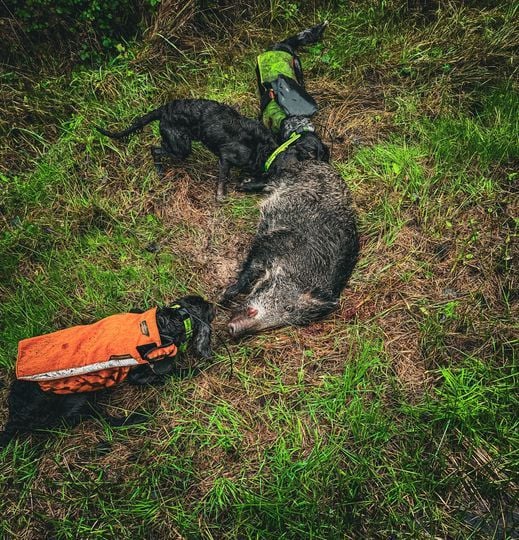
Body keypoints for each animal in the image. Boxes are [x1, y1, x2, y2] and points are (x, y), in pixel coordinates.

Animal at [0, 296, 215, 448]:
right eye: (207, 307)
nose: (214, 304)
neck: (167, 322)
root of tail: (14, 416)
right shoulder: (138, 372)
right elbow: (165, 373)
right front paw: (192, 370)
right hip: (79, 395)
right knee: (103, 418)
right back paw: (138, 416)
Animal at [95, 98, 278, 200]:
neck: (262, 148)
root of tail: (164, 109)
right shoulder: (226, 157)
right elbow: (222, 179)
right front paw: (221, 197)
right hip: (181, 148)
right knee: (154, 148)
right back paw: (159, 171)